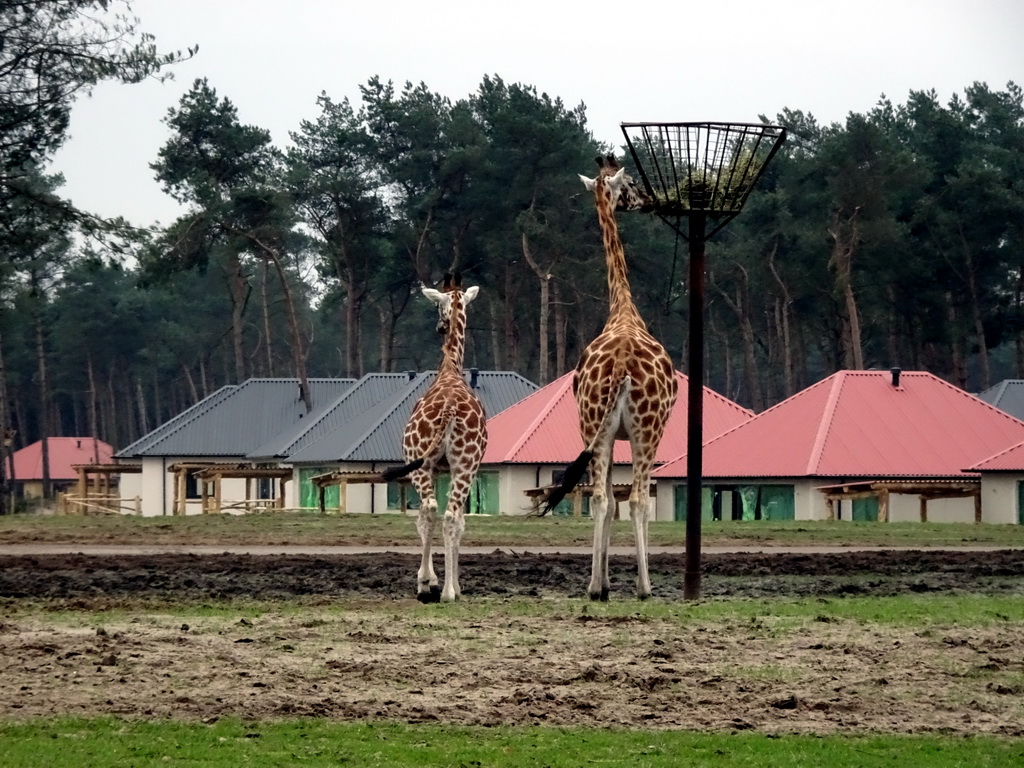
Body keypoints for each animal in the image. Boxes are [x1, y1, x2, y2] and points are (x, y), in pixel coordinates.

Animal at [380, 274, 487, 606]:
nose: (440, 327)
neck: (450, 368)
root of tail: (450, 408)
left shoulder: (444, 467)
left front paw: (439, 581)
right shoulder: (457, 468)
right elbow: (461, 521)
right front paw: (454, 584)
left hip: (427, 464)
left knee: (430, 510)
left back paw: (429, 585)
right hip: (458, 463)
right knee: (444, 514)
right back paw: (445, 591)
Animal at [544, 154, 679, 602]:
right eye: (632, 183)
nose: (651, 200)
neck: (623, 308)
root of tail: (620, 365)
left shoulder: (606, 434)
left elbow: (608, 503)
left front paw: (603, 582)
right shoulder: (642, 434)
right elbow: (635, 504)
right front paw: (631, 583)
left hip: (592, 427)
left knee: (601, 498)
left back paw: (594, 588)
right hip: (646, 429)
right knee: (636, 500)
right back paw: (644, 588)